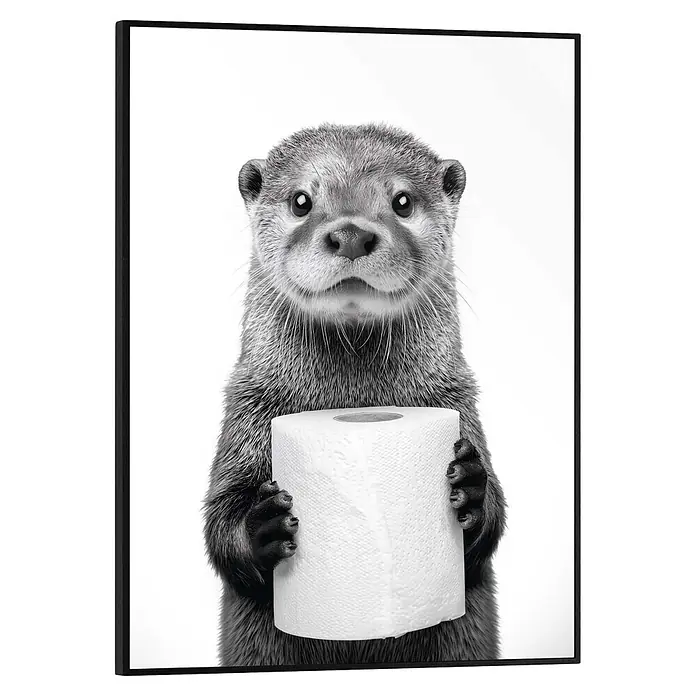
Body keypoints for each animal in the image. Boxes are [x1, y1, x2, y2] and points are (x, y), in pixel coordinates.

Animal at [204, 123, 506, 666]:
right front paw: (263, 525)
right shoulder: (246, 409)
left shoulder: (457, 400)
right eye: (301, 200)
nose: (350, 234)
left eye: (402, 201)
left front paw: (472, 486)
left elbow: (489, 531)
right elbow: (219, 521)